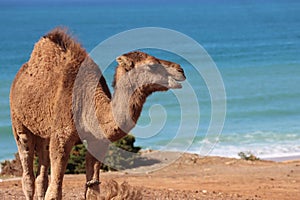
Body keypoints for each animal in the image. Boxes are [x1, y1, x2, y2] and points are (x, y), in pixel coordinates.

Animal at [9, 27, 185, 199]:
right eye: (152, 65)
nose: (181, 70)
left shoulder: (97, 140)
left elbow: (92, 189)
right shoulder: (61, 136)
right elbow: (54, 192)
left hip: (43, 131)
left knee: (42, 174)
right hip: (18, 120)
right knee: (28, 175)